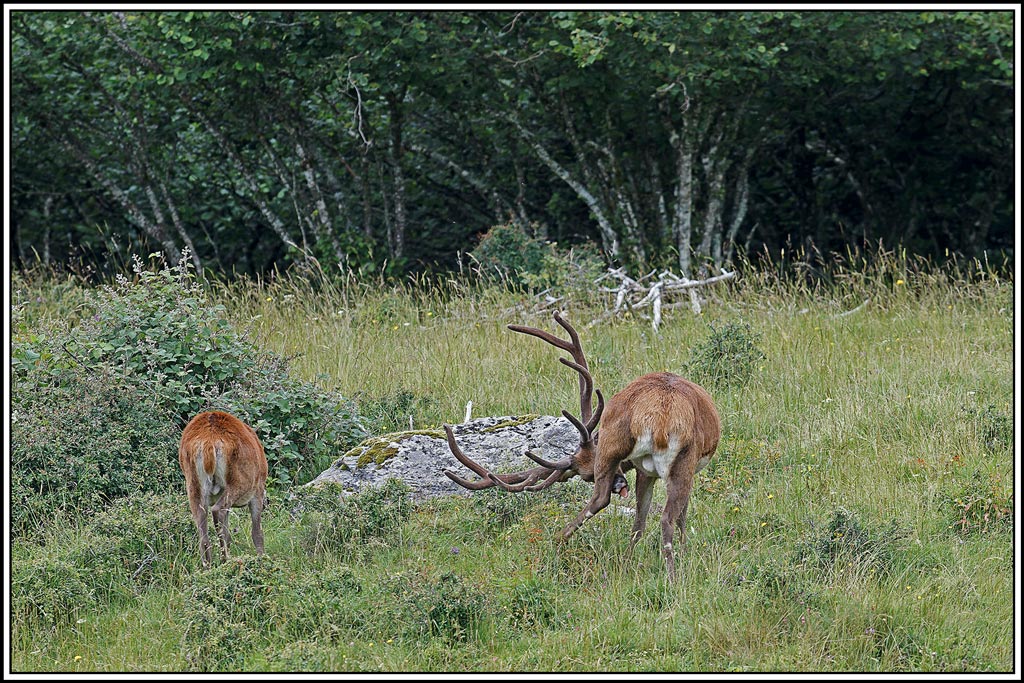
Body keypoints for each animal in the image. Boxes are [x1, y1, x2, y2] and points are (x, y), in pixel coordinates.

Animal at [179, 410, 269, 568]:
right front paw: (262, 558)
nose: (266, 503)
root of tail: (209, 441)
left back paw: (208, 566)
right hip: (241, 481)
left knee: (202, 529)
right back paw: (225, 559)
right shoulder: (257, 492)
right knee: (217, 510)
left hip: (192, 484)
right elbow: (257, 532)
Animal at [443, 311, 720, 581]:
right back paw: (671, 577)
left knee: (603, 501)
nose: (619, 484)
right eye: (586, 476)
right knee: (662, 517)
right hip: (678, 458)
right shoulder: (653, 470)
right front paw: (684, 552)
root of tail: (659, 417)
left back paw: (563, 541)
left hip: (617, 445)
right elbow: (671, 517)